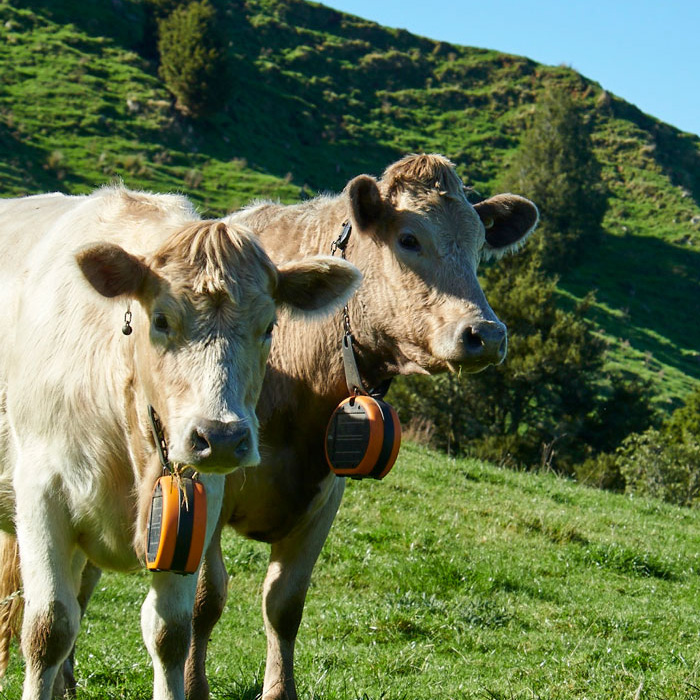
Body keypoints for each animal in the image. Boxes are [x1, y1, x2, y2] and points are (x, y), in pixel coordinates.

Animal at [185, 154, 536, 700]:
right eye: (409, 238)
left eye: (480, 246)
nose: (487, 334)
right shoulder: (208, 479)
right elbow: (205, 600)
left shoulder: (325, 497)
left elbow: (284, 605)